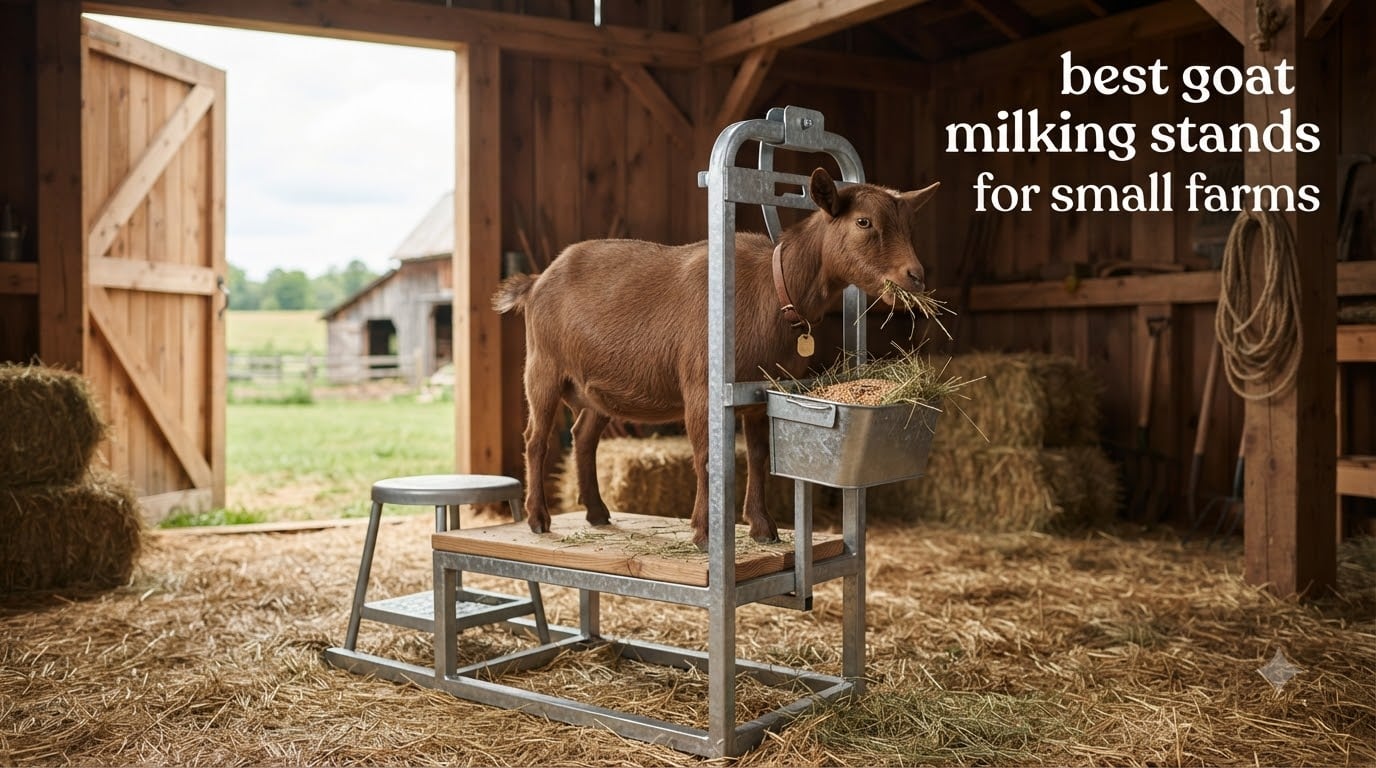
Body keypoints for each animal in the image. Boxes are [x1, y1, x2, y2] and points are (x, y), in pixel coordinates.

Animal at [493, 168, 940, 547]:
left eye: (909, 226)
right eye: (864, 222)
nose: (915, 276)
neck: (773, 289)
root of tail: (537, 281)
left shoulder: (761, 391)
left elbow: (757, 457)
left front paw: (762, 528)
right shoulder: (700, 386)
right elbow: (709, 456)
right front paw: (705, 533)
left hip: (596, 389)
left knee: (583, 437)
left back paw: (598, 513)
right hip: (543, 367)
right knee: (536, 438)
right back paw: (538, 518)